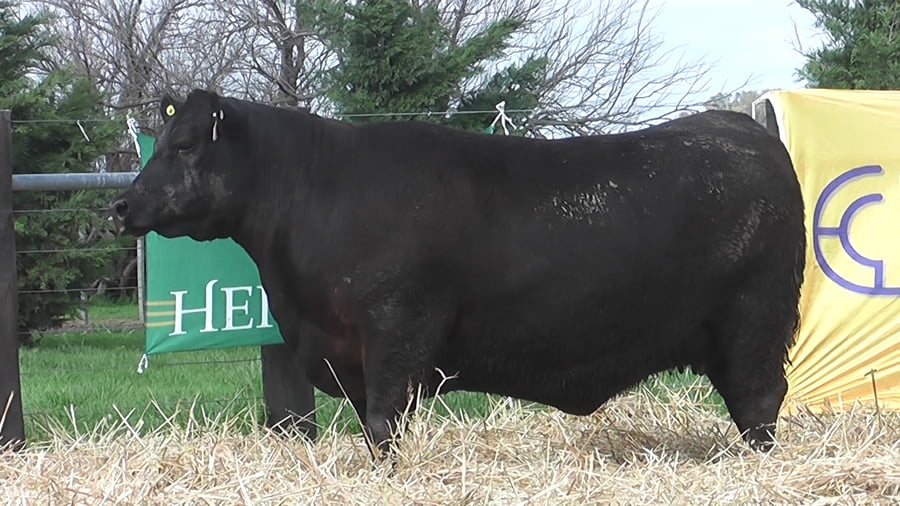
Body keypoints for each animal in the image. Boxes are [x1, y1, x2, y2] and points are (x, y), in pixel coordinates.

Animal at [111, 89, 806, 458]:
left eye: (185, 146)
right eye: (161, 140)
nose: (121, 205)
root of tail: (746, 130)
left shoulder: (395, 328)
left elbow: (384, 421)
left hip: (756, 320)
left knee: (759, 400)